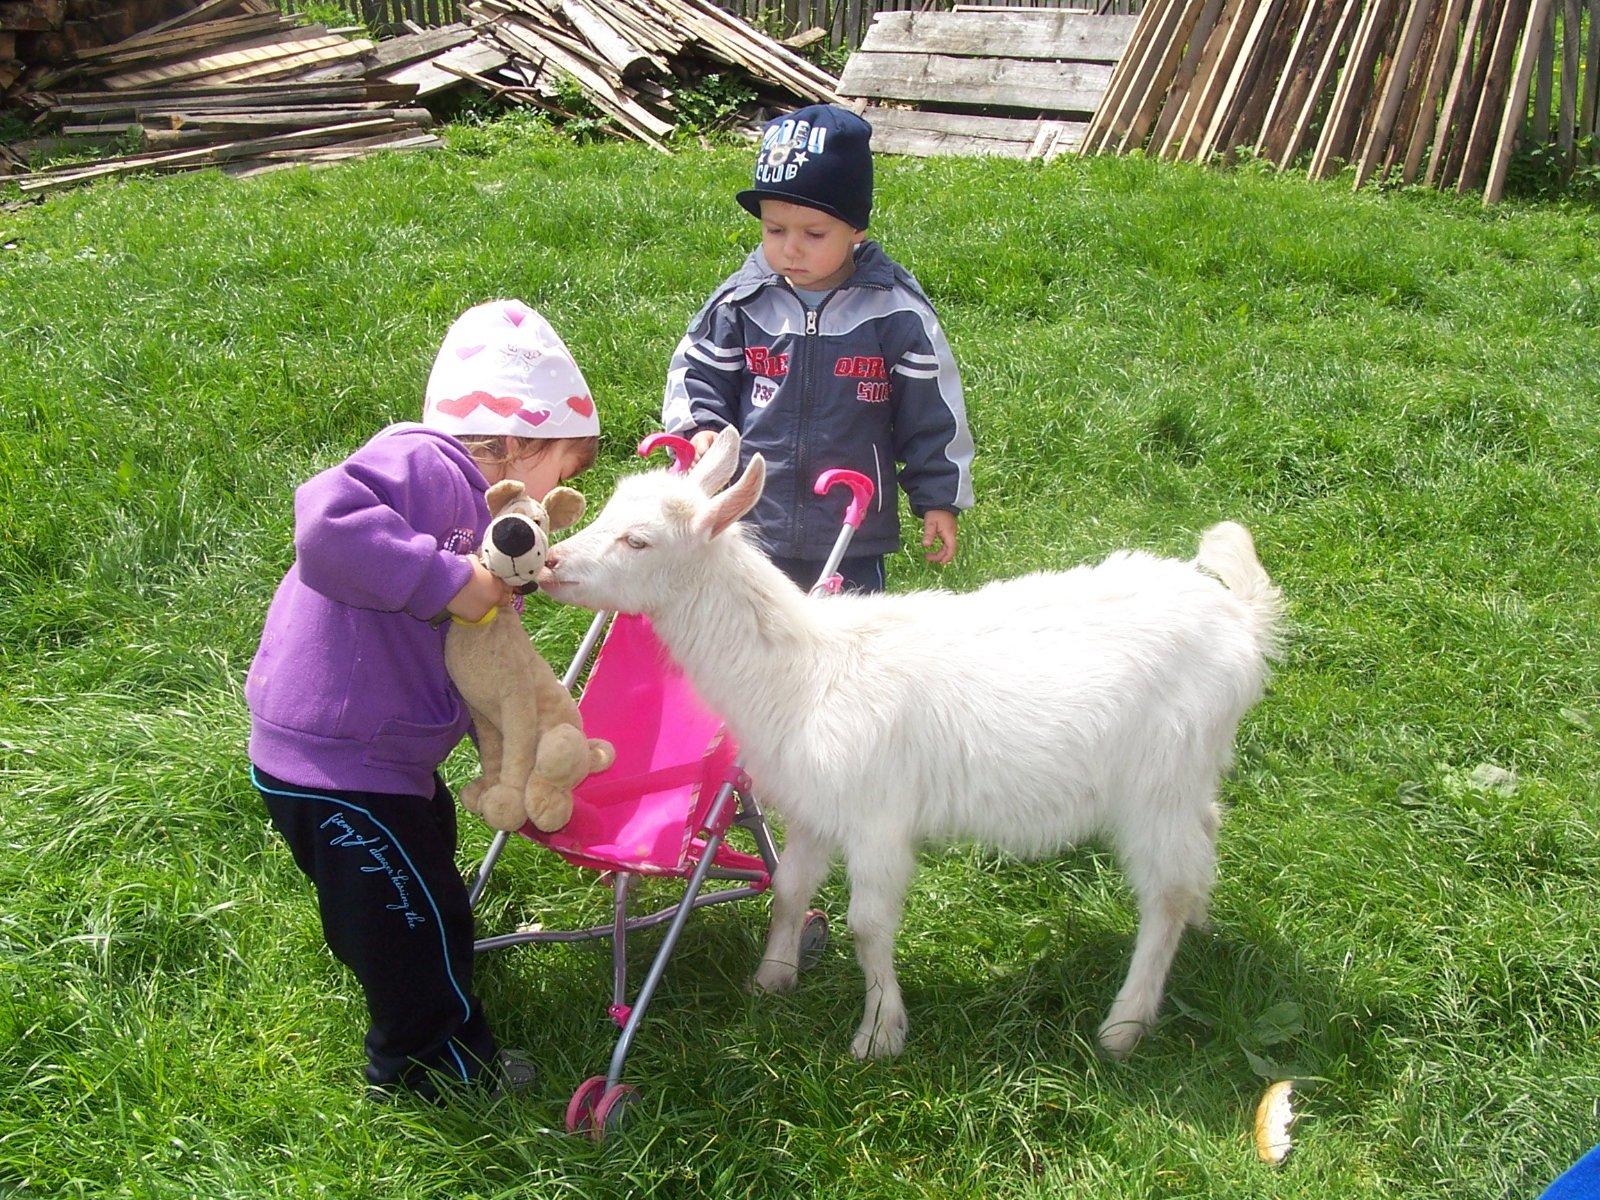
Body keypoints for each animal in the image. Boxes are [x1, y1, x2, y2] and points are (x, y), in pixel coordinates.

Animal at [538, 427, 1283, 1061]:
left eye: (639, 541)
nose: (546, 561)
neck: (802, 670)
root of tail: (1244, 621)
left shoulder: (877, 817)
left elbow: (868, 924)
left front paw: (879, 1033)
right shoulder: (813, 808)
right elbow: (789, 889)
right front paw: (772, 978)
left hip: (1159, 776)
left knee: (1165, 890)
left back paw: (1125, 1023)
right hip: (1193, 771)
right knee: (1201, 841)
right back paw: (1202, 923)